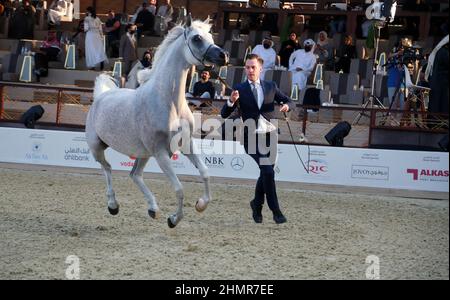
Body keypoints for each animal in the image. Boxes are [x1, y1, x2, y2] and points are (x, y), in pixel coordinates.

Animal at [85, 16, 229, 227]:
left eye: (210, 36)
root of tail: (101, 95)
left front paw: (201, 204)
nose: (224, 56)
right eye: (196, 38)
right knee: (108, 168)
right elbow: (179, 188)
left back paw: (153, 209)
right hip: (97, 148)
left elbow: (205, 172)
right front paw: (173, 219)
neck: (170, 104)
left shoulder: (186, 144)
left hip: (143, 154)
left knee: (135, 175)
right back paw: (113, 205)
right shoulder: (161, 153)